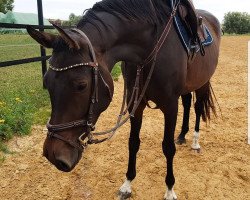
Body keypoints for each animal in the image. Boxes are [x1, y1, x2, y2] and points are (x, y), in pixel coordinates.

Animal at [26, 0, 220, 199]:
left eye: (81, 85)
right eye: (46, 82)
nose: (53, 155)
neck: (151, 47)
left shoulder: (170, 105)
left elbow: (167, 147)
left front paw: (170, 189)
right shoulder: (135, 103)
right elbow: (133, 142)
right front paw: (127, 184)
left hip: (203, 82)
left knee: (197, 107)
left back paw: (195, 141)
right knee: (187, 102)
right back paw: (181, 135)